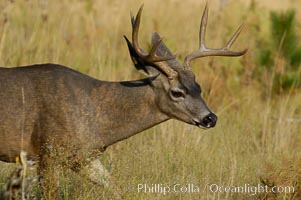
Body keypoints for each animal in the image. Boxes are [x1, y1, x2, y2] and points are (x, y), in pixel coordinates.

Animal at [0, 3, 246, 197]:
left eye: (199, 87)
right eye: (177, 92)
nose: (211, 118)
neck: (97, 118)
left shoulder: (85, 157)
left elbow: (117, 188)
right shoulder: (47, 152)